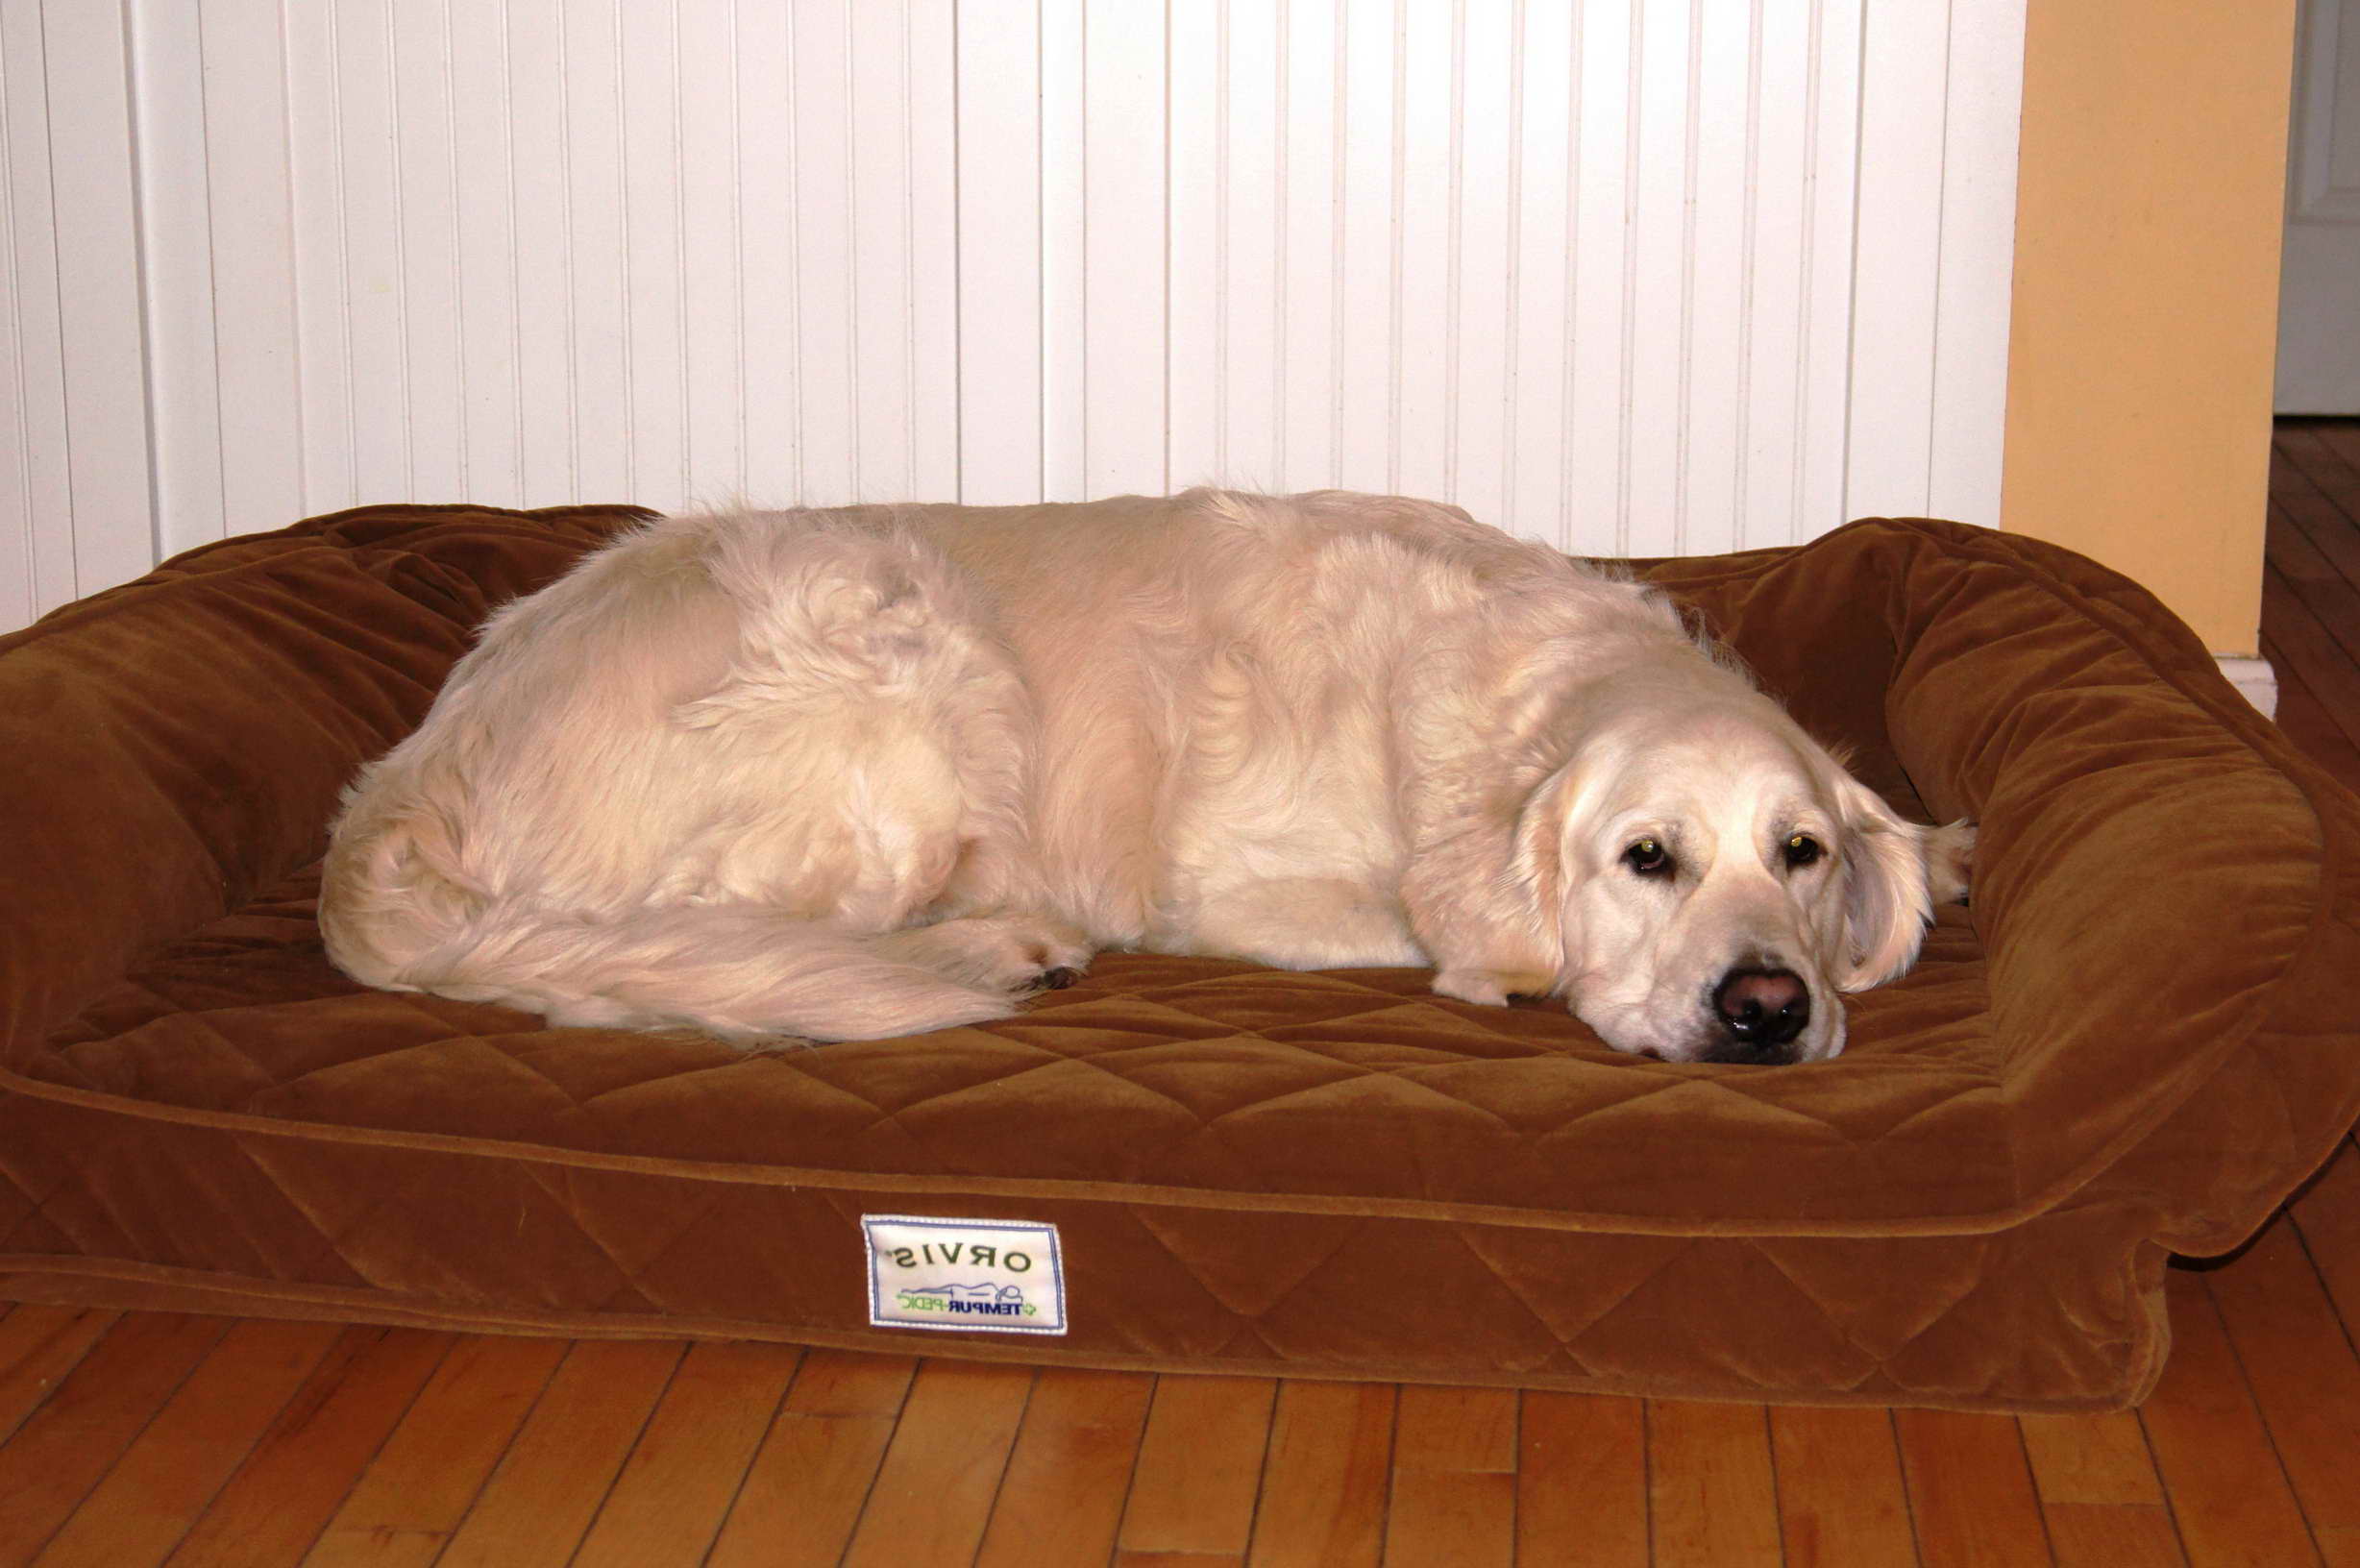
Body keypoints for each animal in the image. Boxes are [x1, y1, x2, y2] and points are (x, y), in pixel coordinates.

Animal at [318, 493, 1973, 1066]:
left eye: (1806, 855)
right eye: (1646, 857)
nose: (1767, 1009)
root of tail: (410, 769)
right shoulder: (1238, 879)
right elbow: (1423, 922)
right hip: (906, 644)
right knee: (677, 951)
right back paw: (1001, 946)